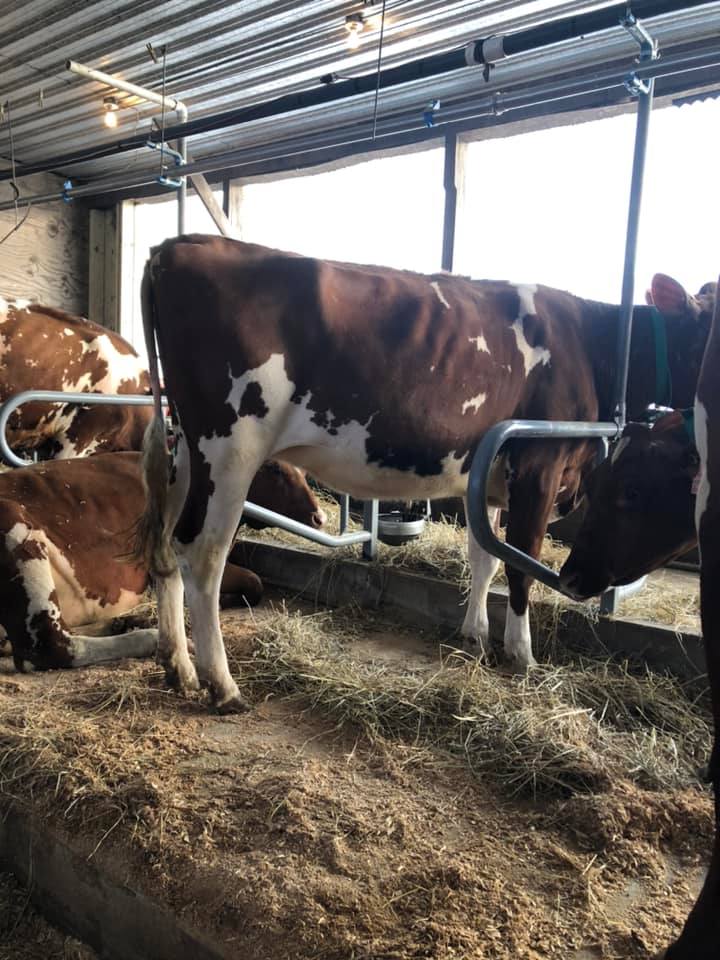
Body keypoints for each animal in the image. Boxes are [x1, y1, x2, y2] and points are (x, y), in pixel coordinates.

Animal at [0, 451, 325, 672]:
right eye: (274, 468)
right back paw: (151, 638)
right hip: (17, 528)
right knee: (50, 647)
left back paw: (127, 621)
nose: (319, 517)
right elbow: (254, 583)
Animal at [134, 235, 715, 713]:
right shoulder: (539, 465)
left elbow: (485, 560)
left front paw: (474, 636)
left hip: (187, 449)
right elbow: (522, 565)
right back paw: (221, 684)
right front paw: (522, 655)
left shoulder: (491, 477)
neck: (595, 345)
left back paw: (178, 667)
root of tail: (177, 246)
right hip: (231, 445)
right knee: (203, 553)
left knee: (166, 544)